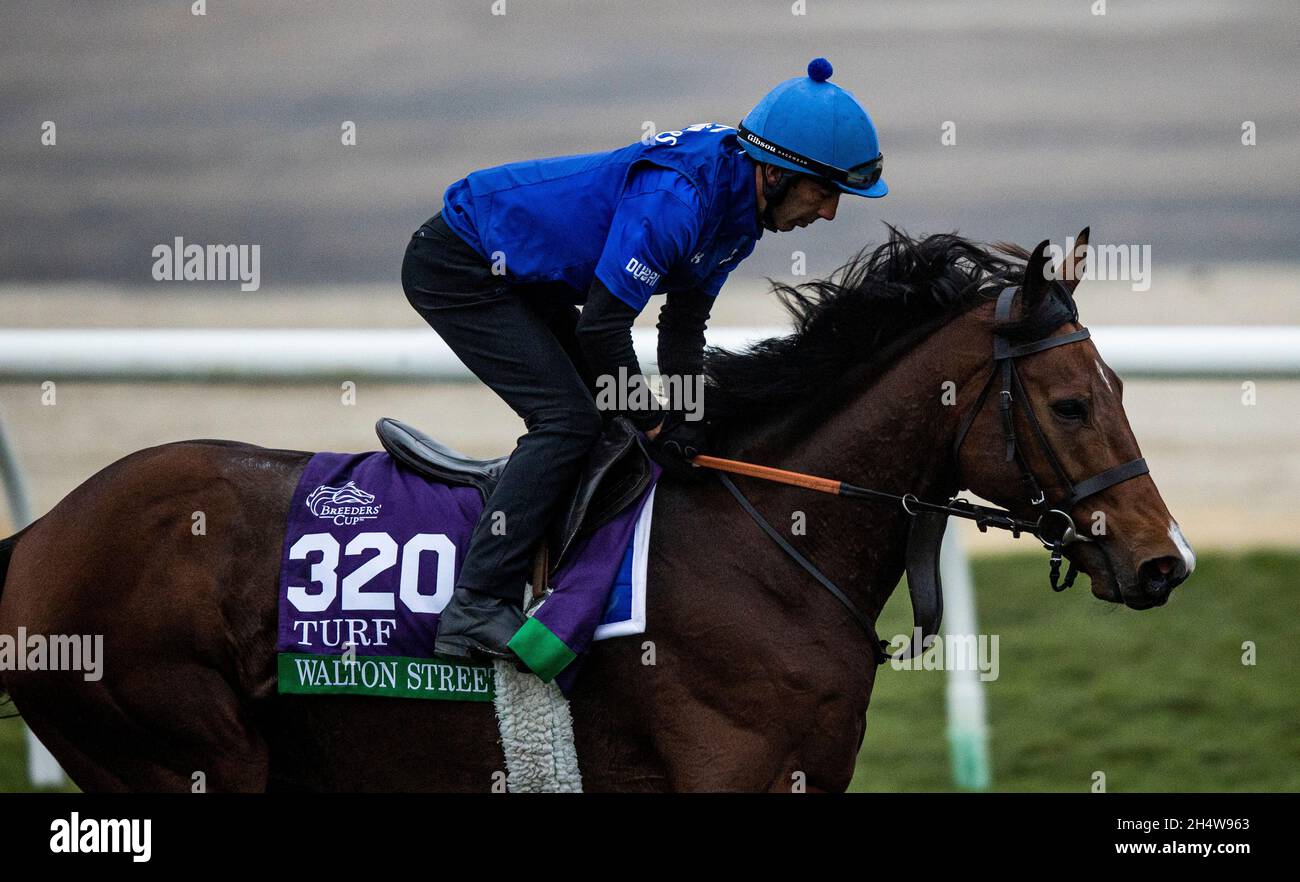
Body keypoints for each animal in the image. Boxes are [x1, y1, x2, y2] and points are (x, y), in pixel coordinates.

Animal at [0, 227, 1190, 796]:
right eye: (1073, 403)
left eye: (1123, 389)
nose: (1163, 560)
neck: (769, 544)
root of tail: (41, 536)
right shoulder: (727, 771)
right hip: (177, 753)